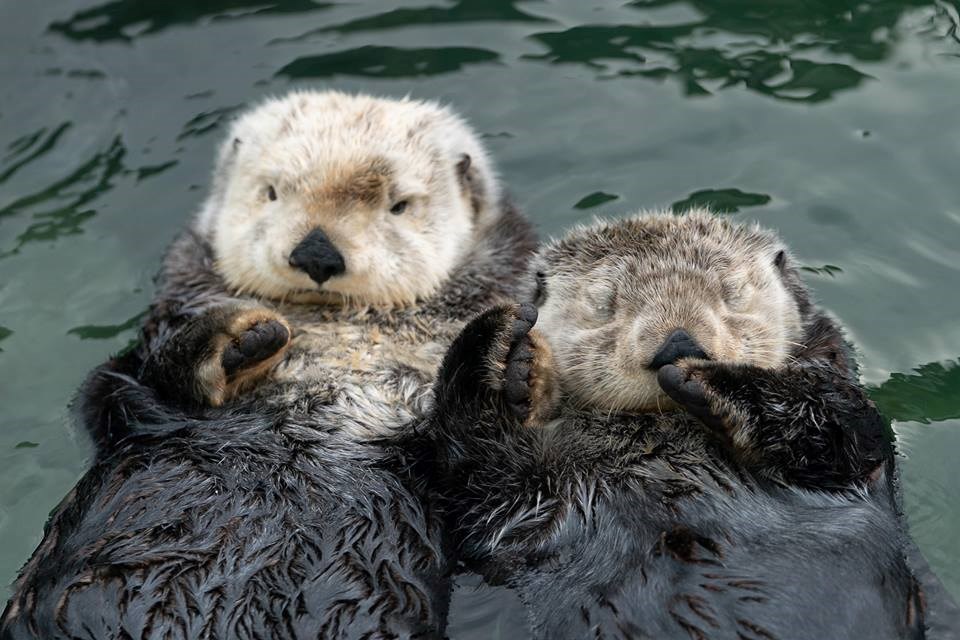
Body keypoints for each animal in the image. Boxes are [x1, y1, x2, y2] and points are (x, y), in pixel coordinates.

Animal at [0, 90, 536, 640]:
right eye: (272, 192)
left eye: (400, 205)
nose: (316, 252)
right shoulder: (136, 386)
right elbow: (120, 390)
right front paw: (240, 339)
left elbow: (492, 492)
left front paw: (497, 367)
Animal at [418, 211, 924, 640]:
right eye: (604, 306)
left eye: (731, 292)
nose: (678, 344)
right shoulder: (521, 510)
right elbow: (480, 490)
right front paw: (503, 352)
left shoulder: (843, 420)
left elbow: (846, 429)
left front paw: (708, 378)